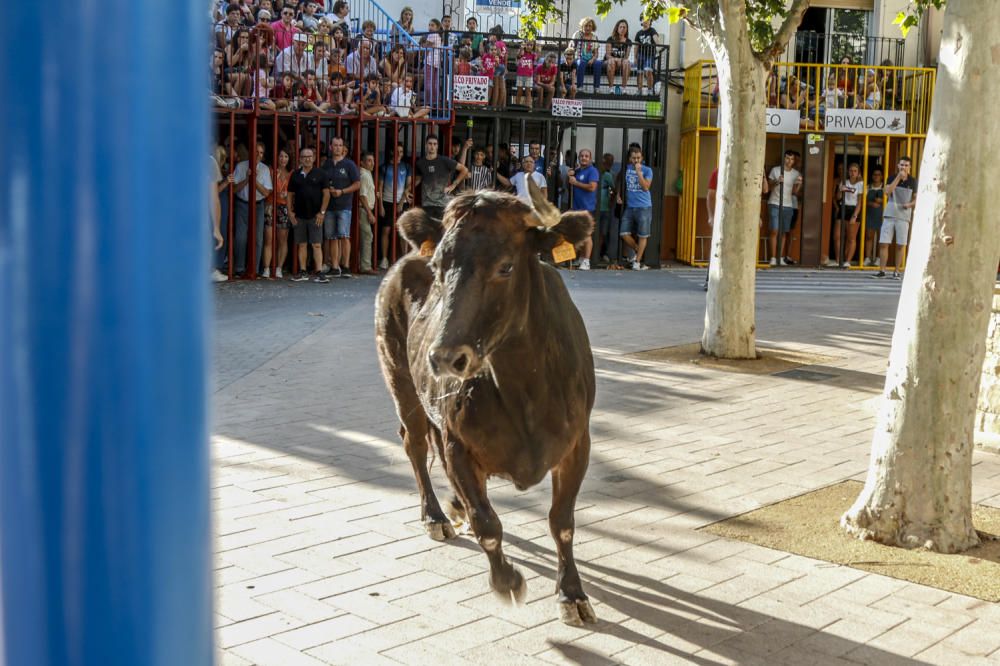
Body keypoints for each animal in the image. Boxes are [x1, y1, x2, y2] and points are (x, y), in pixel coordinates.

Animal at [374, 180, 592, 624]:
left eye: (505, 267)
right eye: (439, 268)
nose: (444, 358)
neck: (526, 389)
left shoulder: (578, 444)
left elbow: (561, 521)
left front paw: (572, 594)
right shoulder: (460, 444)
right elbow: (487, 523)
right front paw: (507, 581)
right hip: (401, 381)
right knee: (416, 445)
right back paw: (436, 516)